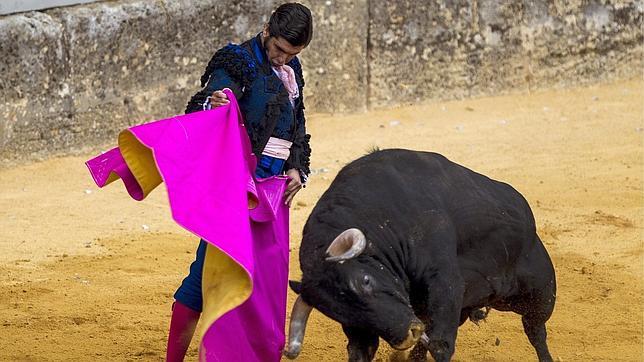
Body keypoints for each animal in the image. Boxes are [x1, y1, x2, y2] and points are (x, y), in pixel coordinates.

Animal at [284, 148, 556, 360]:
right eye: (337, 313)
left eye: (366, 280)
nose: (408, 334)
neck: (382, 219)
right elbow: (360, 351)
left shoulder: (445, 283)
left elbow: (441, 345)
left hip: (539, 292)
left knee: (536, 331)